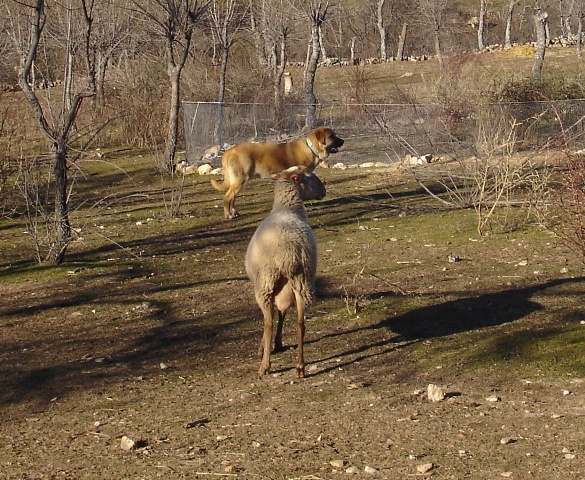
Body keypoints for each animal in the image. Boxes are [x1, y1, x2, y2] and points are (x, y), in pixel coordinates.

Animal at [210, 126, 342, 218]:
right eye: (332, 136)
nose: (343, 141)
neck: (311, 148)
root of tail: (228, 152)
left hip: (239, 182)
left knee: (233, 197)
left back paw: (234, 212)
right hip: (240, 180)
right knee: (228, 197)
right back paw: (228, 215)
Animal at [244, 165, 326, 378]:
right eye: (310, 177)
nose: (324, 191)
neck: (287, 208)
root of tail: (289, 253)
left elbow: (275, 315)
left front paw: (267, 347)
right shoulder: (286, 288)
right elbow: (283, 312)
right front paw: (278, 343)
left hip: (266, 284)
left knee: (268, 322)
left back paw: (265, 365)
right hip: (303, 282)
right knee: (300, 323)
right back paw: (300, 366)